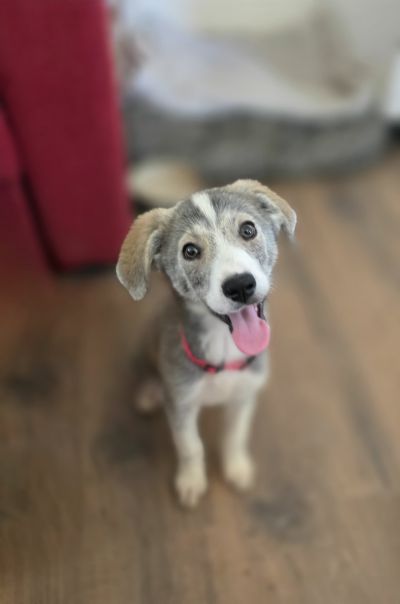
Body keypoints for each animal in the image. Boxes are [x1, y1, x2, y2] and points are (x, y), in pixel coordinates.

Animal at [116, 179, 296, 507]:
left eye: (248, 230)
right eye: (190, 251)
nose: (240, 285)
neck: (224, 346)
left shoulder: (244, 396)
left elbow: (235, 436)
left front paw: (236, 467)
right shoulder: (181, 404)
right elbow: (191, 447)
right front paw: (191, 481)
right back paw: (149, 392)